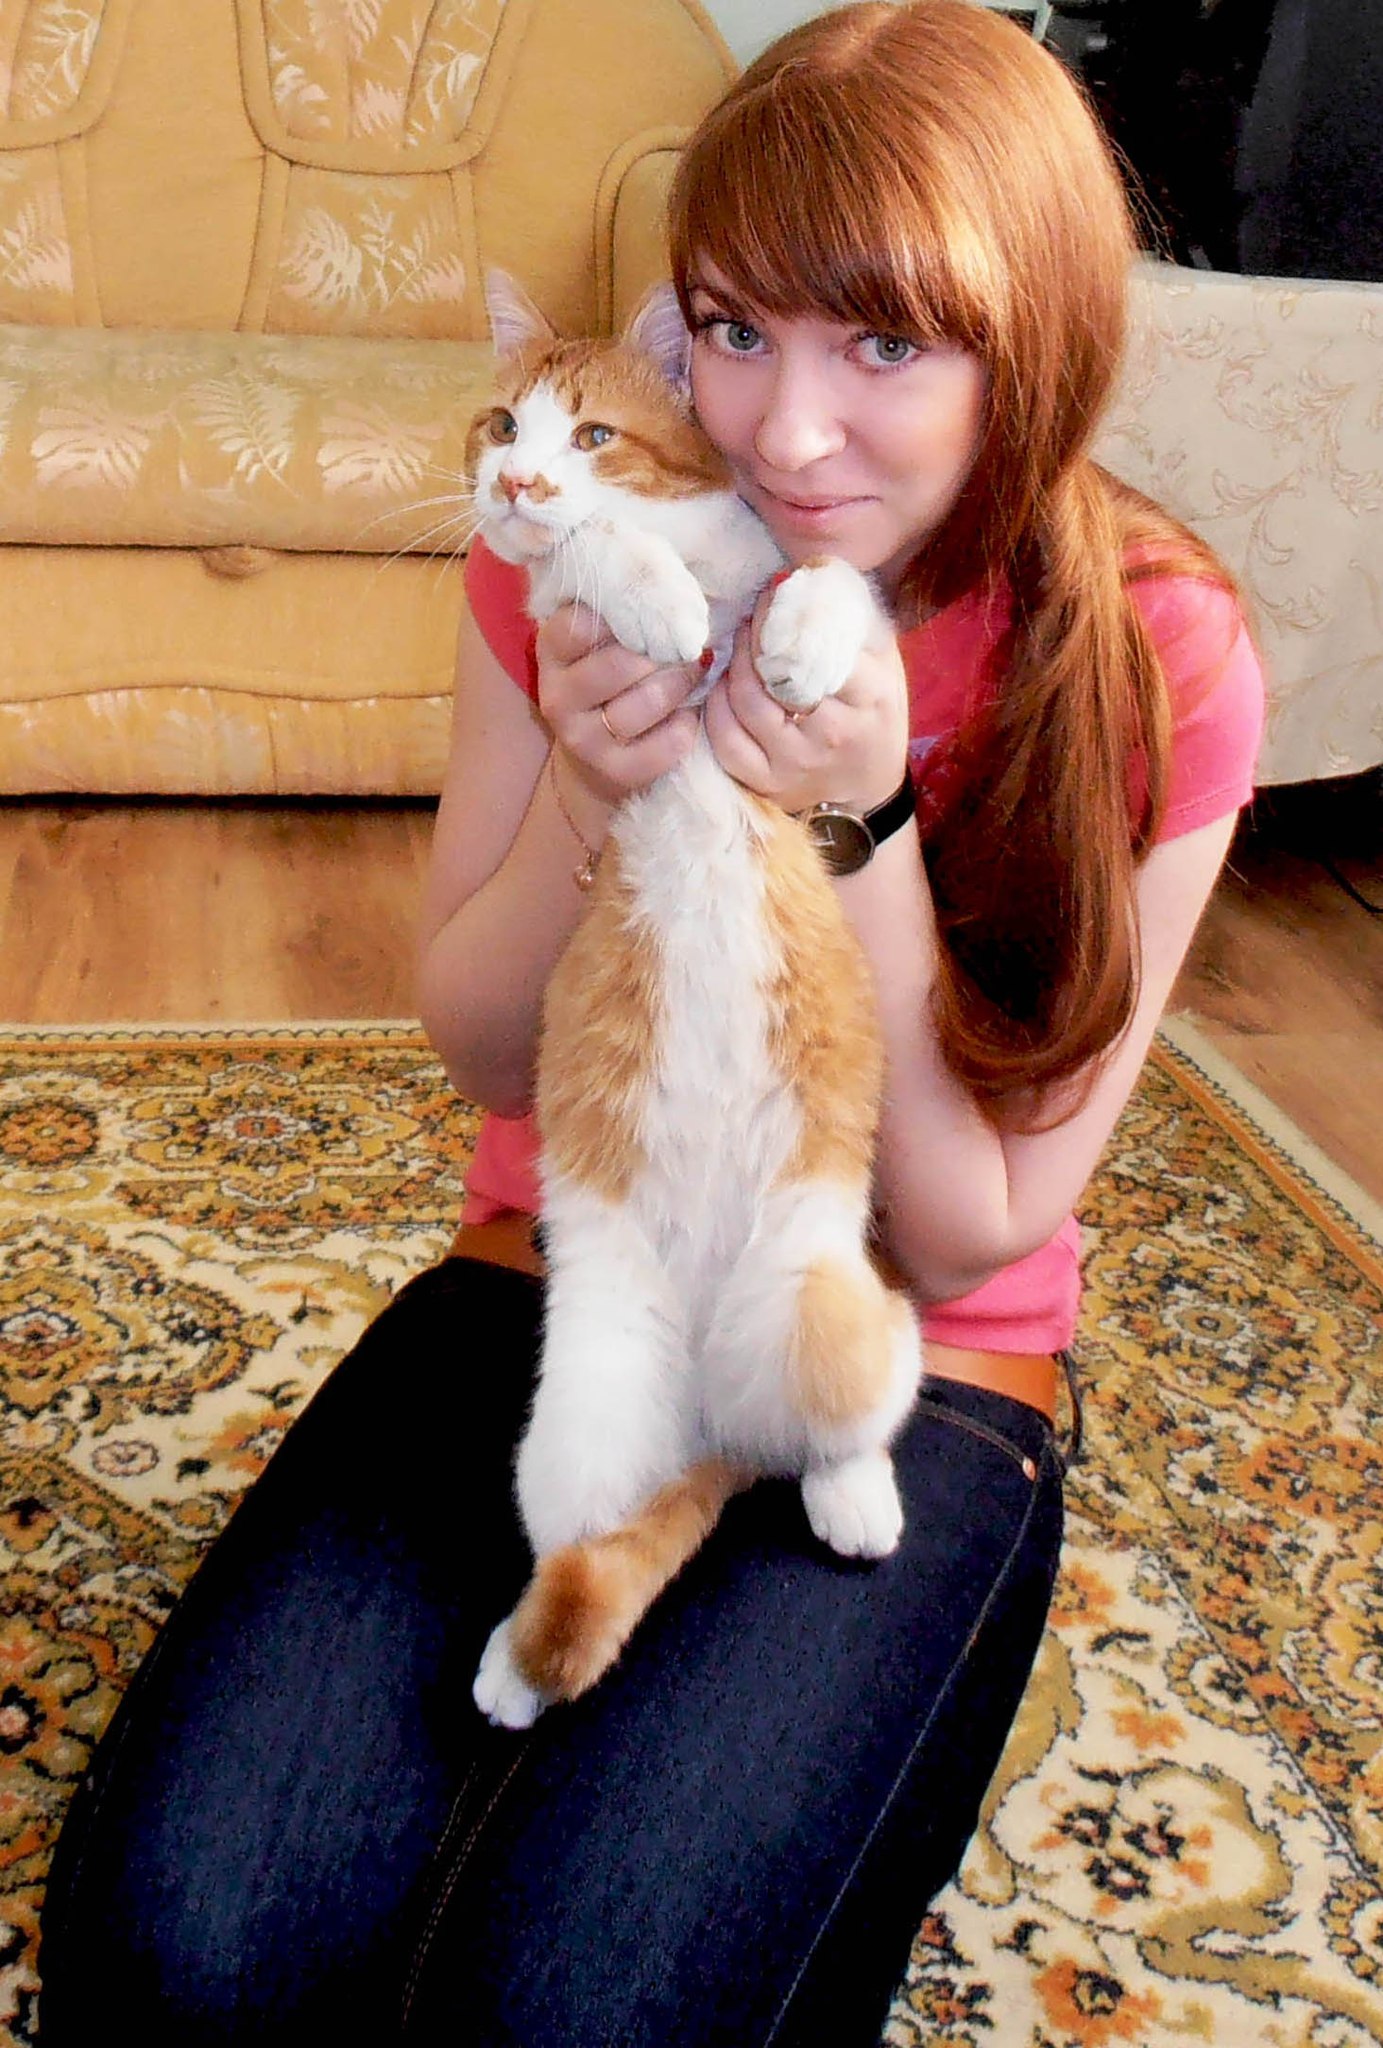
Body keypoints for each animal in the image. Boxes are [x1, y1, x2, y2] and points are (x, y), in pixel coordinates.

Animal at [466, 271, 923, 1729]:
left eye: (592, 435)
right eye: (502, 426)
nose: (519, 479)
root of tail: (717, 1414)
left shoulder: (799, 571)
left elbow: (828, 574)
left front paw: (789, 644)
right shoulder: (553, 613)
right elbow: (588, 566)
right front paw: (648, 596)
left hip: (839, 1313)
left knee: (834, 1434)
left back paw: (857, 1503)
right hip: (580, 1415)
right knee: (589, 1553)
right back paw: (513, 1665)